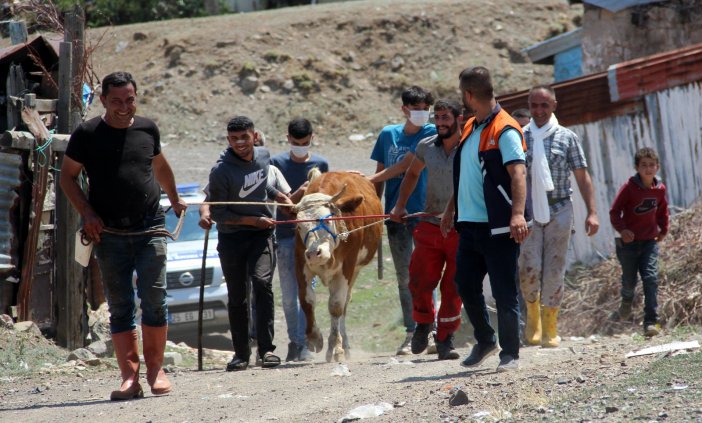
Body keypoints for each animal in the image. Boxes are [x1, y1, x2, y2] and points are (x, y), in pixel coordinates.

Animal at [296, 171, 384, 362]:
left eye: (328, 221)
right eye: (299, 226)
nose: (314, 253)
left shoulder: (346, 268)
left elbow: (336, 306)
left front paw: (336, 348)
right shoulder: (300, 263)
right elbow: (307, 299)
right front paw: (314, 338)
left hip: (355, 271)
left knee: (344, 304)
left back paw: (344, 345)